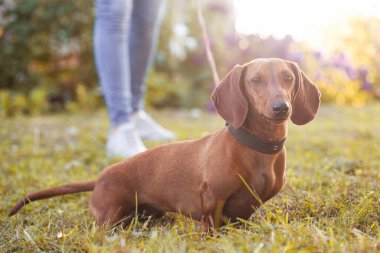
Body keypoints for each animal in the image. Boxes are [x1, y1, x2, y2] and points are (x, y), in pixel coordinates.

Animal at [8, 58, 320, 228]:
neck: (256, 147)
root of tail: (99, 178)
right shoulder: (212, 201)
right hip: (111, 214)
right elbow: (212, 225)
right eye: (256, 80)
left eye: (288, 77)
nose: (281, 108)